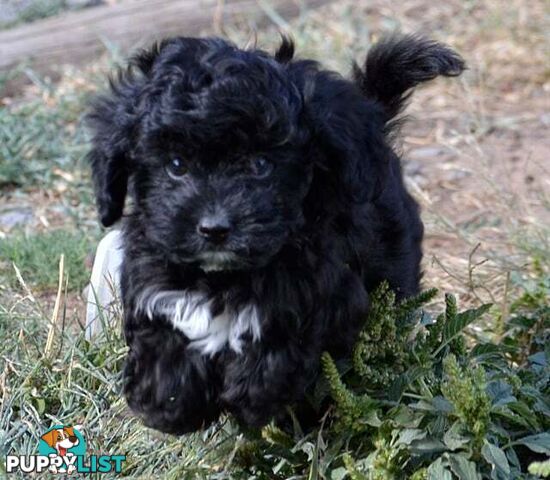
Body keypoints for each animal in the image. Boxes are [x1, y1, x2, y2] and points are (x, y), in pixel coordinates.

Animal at [87, 32, 466, 432]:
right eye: (176, 165)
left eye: (261, 164)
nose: (215, 228)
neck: (222, 278)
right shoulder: (153, 280)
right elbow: (162, 338)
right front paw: (170, 402)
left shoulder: (321, 288)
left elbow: (285, 338)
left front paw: (251, 397)